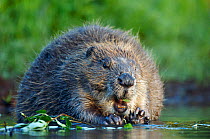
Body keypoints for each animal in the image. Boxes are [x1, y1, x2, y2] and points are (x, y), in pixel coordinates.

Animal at [16, 24, 164, 125]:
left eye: (135, 66)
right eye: (105, 64)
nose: (127, 80)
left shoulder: (146, 85)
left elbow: (145, 100)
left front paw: (139, 115)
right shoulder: (71, 81)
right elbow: (79, 109)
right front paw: (111, 119)